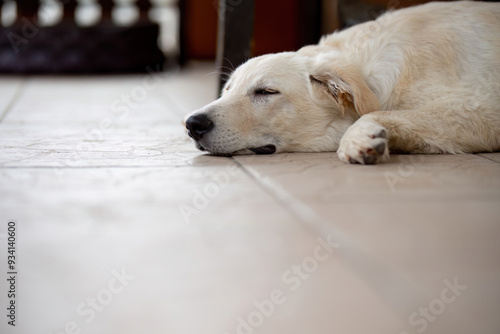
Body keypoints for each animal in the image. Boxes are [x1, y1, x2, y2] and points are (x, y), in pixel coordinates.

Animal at [185, 1, 500, 164]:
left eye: (266, 92)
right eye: (227, 90)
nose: (192, 124)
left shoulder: (481, 111)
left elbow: (376, 112)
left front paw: (358, 137)